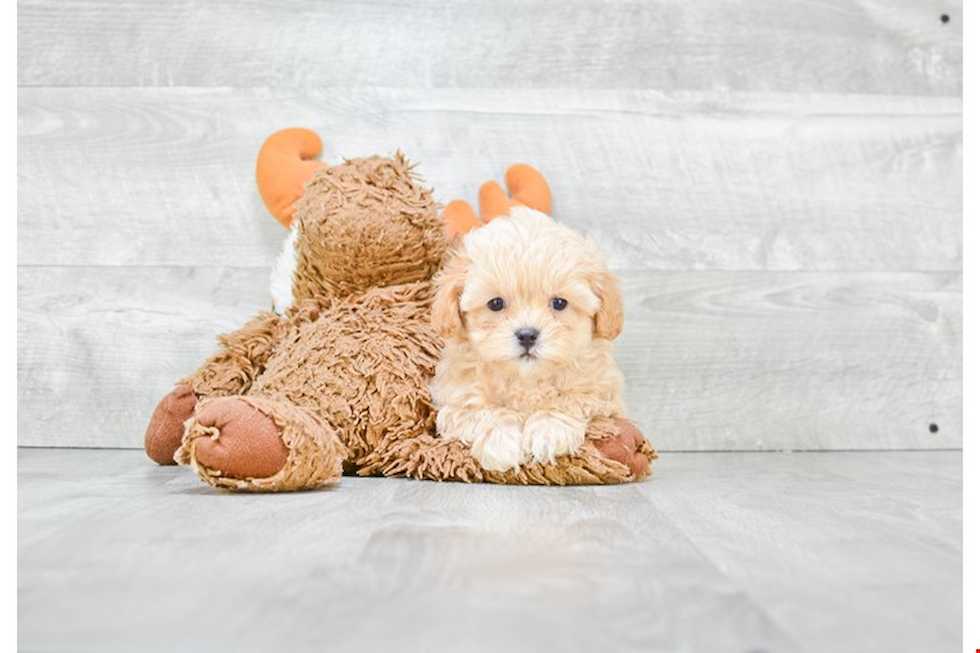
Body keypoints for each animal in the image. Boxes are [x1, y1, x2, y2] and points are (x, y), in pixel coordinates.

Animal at [430, 206, 628, 472]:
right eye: (495, 303)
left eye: (559, 303)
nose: (527, 335)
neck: (526, 380)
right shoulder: (456, 403)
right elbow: (485, 409)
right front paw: (501, 440)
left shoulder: (603, 396)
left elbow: (569, 399)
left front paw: (548, 430)